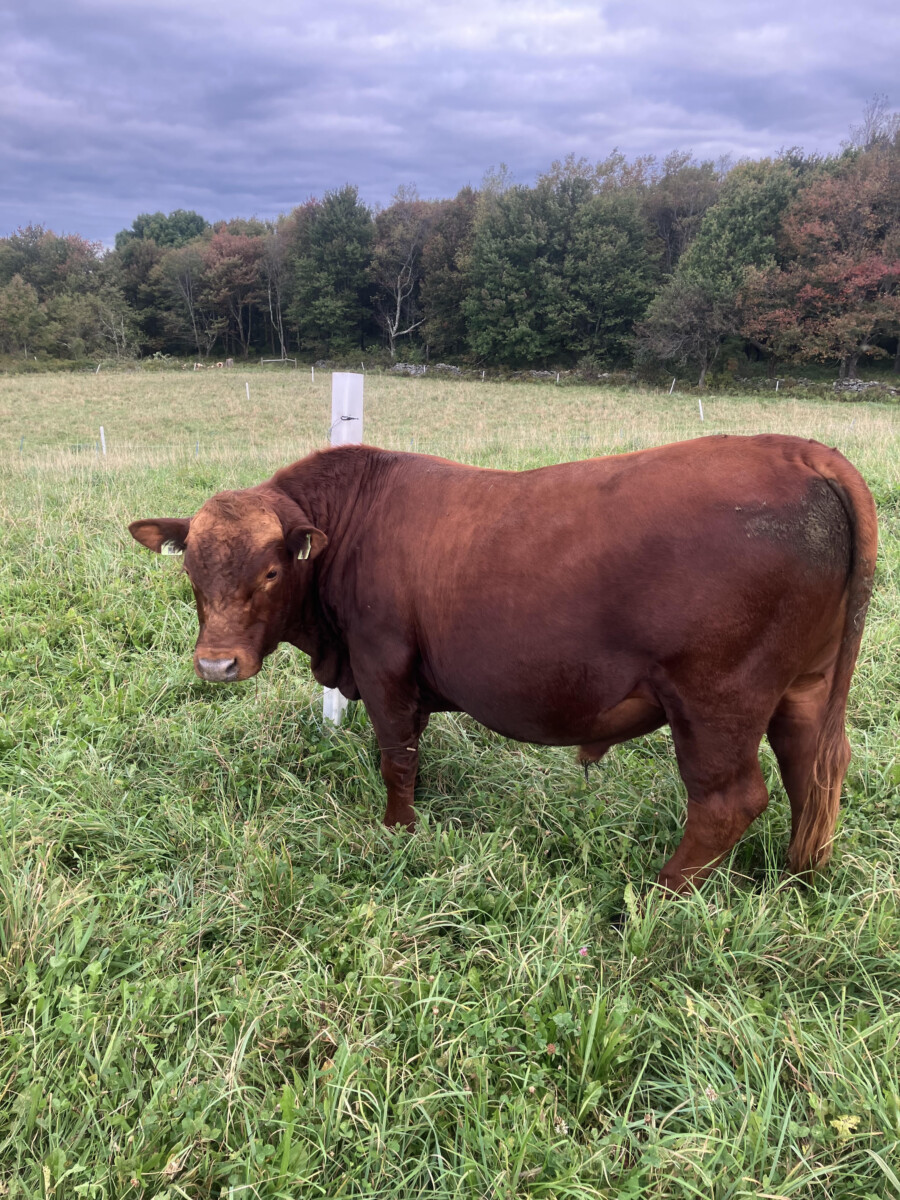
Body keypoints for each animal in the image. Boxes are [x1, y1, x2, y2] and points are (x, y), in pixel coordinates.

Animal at [128, 435, 877, 893]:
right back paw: (799, 875)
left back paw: (660, 892)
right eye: (192, 570)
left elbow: (395, 756)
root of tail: (799, 451)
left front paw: (398, 832)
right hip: (803, 689)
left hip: (716, 701)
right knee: (813, 771)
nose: (217, 665)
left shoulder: (383, 665)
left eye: (272, 571)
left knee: (730, 800)